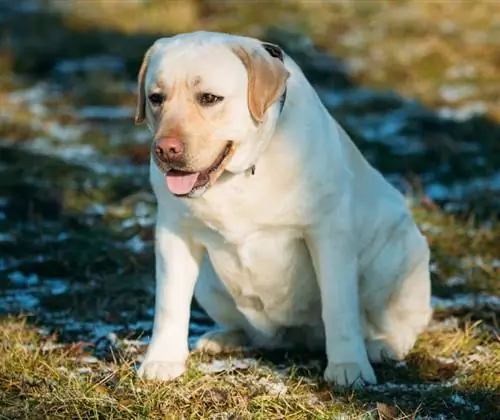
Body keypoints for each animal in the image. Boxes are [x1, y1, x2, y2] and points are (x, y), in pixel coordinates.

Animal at [134, 32, 434, 388]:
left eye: (209, 98)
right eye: (156, 98)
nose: (165, 149)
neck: (243, 173)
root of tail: (297, 337)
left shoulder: (328, 234)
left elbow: (339, 306)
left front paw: (348, 366)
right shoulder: (175, 232)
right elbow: (169, 302)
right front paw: (162, 361)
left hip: (397, 255)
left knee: (401, 323)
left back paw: (383, 346)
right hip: (209, 280)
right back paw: (224, 338)